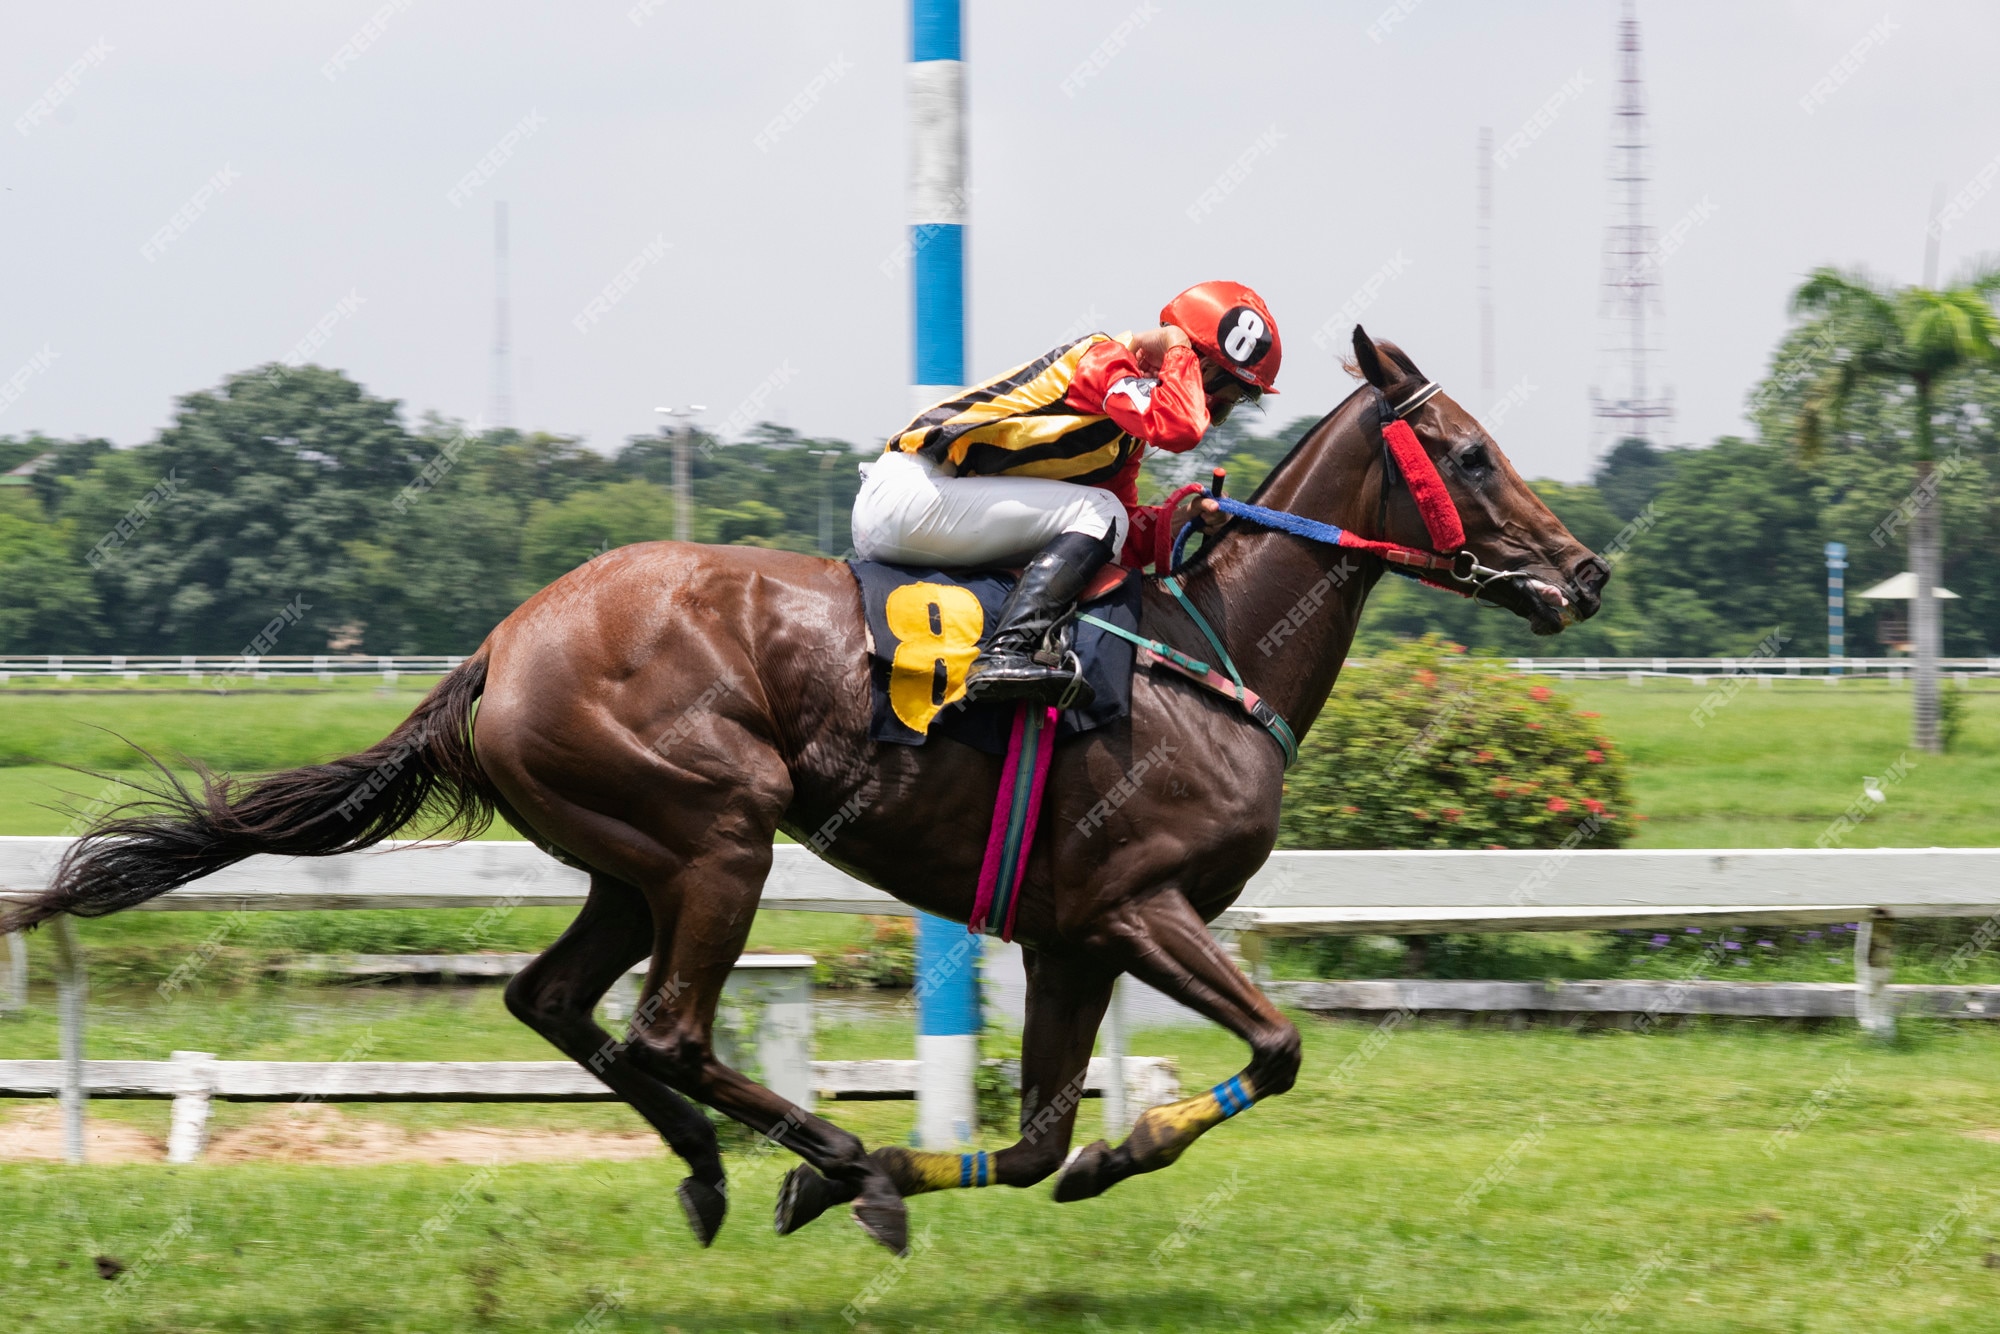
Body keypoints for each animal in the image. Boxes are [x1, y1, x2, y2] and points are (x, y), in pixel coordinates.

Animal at [7, 324, 1608, 1256]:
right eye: (1467, 453)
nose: (1583, 571)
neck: (1202, 651)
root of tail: (503, 641)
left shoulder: (1068, 934)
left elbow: (1037, 1139)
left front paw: (1048, 1159)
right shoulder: (1137, 903)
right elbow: (1273, 1047)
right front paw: (1089, 1151)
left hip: (628, 855)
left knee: (559, 1002)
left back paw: (721, 1172)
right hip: (717, 834)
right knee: (658, 1023)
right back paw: (827, 1160)